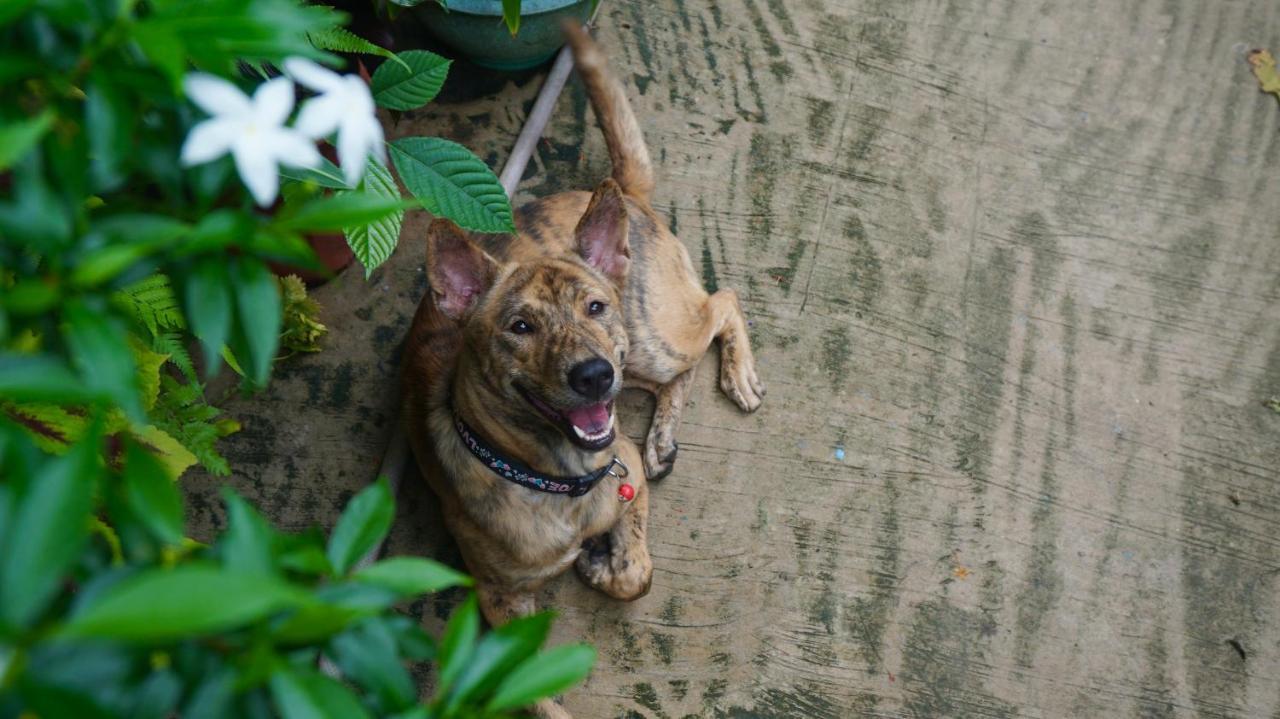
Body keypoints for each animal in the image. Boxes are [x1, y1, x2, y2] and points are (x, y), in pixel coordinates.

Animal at [399, 23, 757, 716]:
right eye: (520, 327)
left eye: (593, 307)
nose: (591, 377)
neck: (558, 480)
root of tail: (614, 193)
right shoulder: (499, 602)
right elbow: (538, 692)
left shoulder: (628, 473)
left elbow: (639, 572)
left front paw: (603, 563)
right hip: (636, 356)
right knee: (674, 369)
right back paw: (666, 434)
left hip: (648, 337)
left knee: (722, 304)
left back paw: (735, 378)